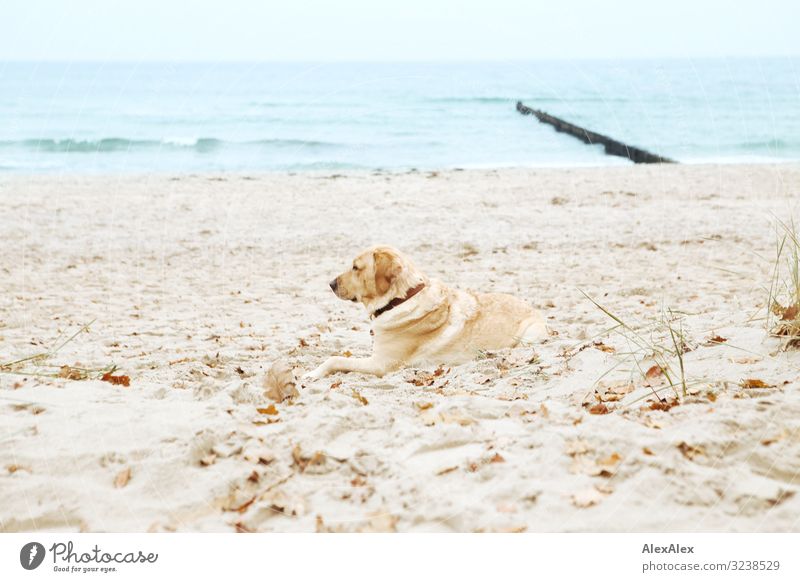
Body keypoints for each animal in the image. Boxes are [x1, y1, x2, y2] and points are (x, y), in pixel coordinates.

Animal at [304, 244, 548, 380]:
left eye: (356, 267)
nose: (330, 284)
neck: (401, 298)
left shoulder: (381, 364)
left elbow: (335, 359)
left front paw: (313, 373)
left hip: (528, 335)